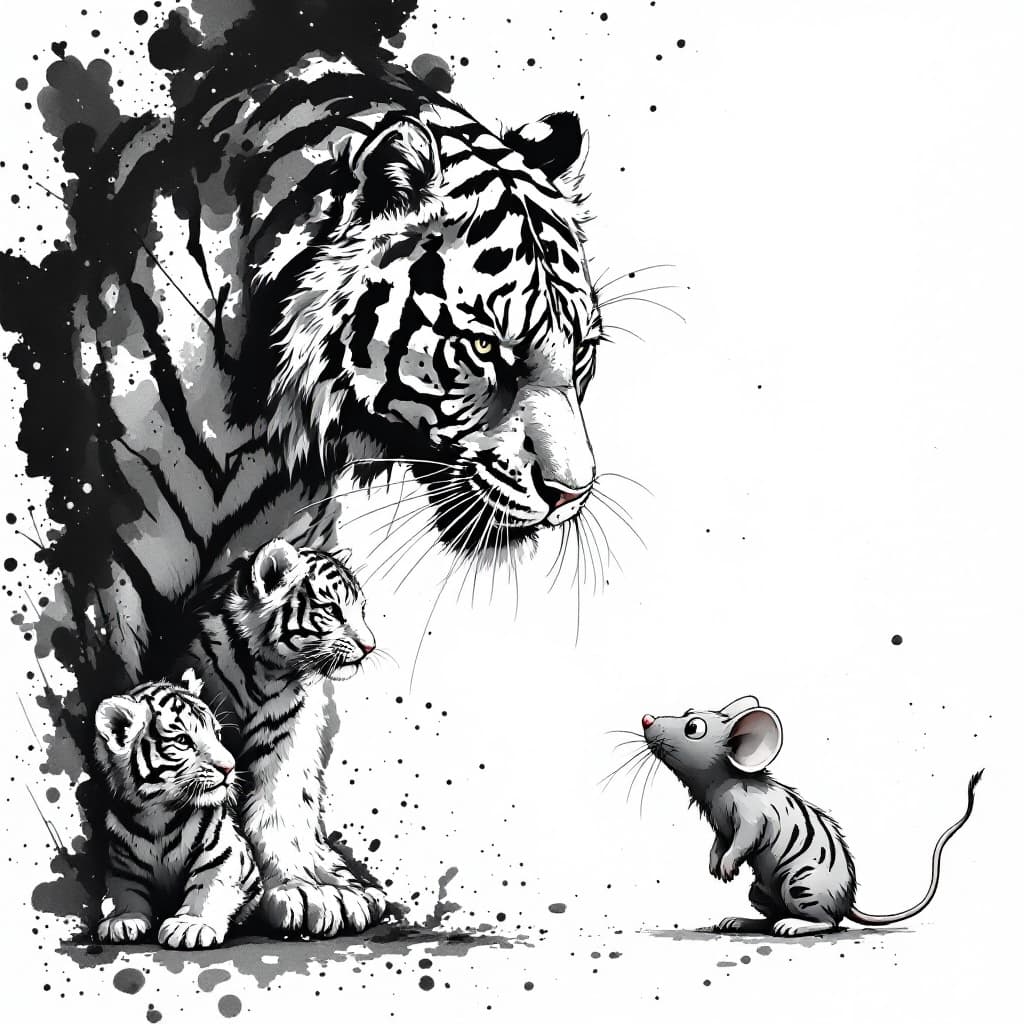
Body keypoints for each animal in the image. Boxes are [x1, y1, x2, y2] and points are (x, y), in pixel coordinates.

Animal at [93, 676, 262, 950]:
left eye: (217, 734)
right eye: (183, 741)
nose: (229, 767)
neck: (158, 812)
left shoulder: (221, 851)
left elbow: (207, 883)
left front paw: (192, 925)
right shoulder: (122, 860)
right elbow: (124, 888)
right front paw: (122, 919)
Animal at [186, 537, 386, 937]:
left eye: (361, 611)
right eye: (333, 610)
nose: (370, 647)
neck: (262, 670)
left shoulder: (283, 748)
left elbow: (278, 814)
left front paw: (302, 891)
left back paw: (355, 893)